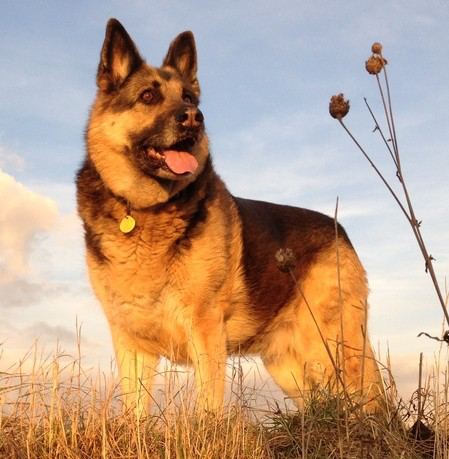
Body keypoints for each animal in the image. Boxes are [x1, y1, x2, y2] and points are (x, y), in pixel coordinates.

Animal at [76, 18, 382, 416]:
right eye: (147, 97)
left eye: (189, 99)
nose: (194, 118)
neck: (143, 210)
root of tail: (340, 230)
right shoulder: (131, 343)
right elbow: (135, 413)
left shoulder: (206, 330)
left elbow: (208, 406)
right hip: (291, 367)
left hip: (335, 351)